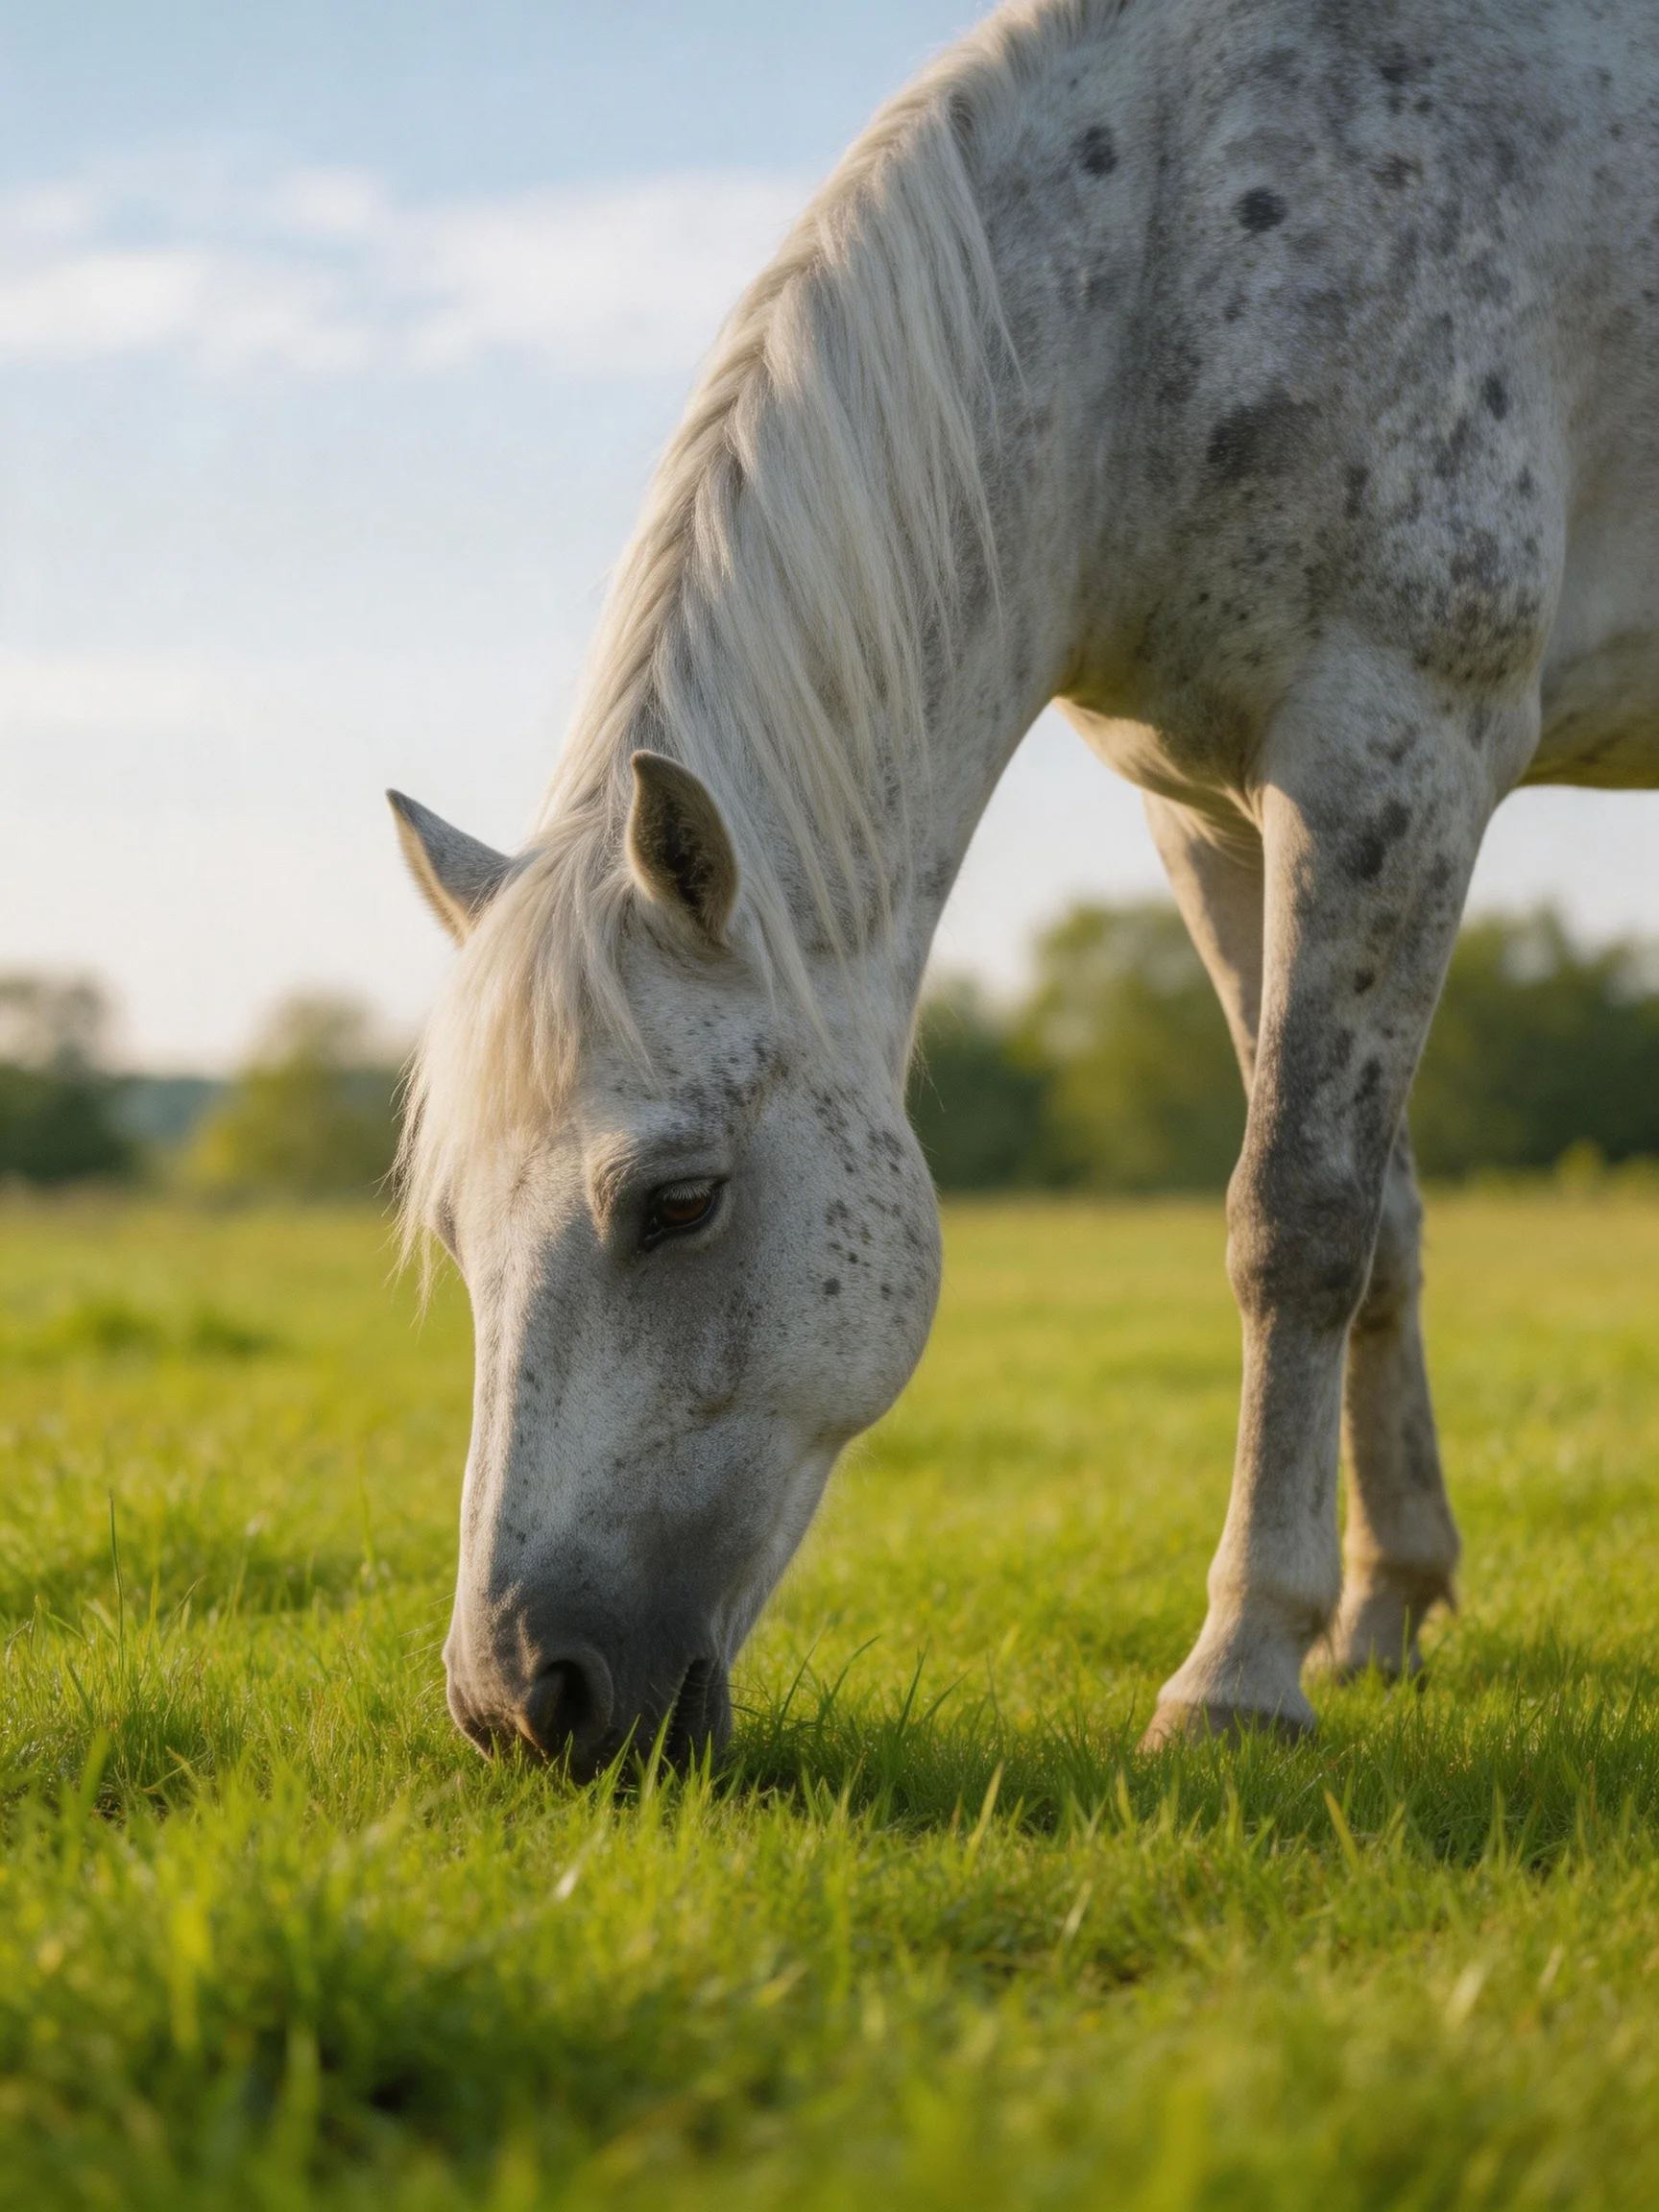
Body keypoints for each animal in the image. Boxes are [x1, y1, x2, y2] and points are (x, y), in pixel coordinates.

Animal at [389, 0, 1659, 1772]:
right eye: (453, 1230)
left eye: (678, 1201)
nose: (521, 1697)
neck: (1178, 252)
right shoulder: (1213, 812)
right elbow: (1384, 1217)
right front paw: (1379, 1608)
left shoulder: (1393, 751)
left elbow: (1298, 1216)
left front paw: (1236, 1671)